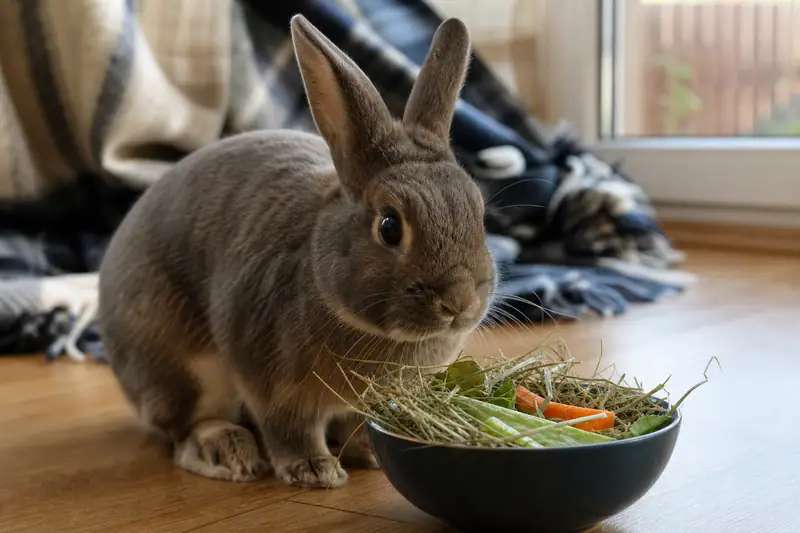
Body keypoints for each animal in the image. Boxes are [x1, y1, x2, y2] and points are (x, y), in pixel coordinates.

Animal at [97, 14, 497, 489]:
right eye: (389, 226)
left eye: (480, 212)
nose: (459, 302)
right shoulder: (273, 386)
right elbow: (290, 428)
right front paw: (314, 471)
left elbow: (358, 426)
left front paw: (367, 454)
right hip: (179, 368)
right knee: (184, 427)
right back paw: (227, 451)